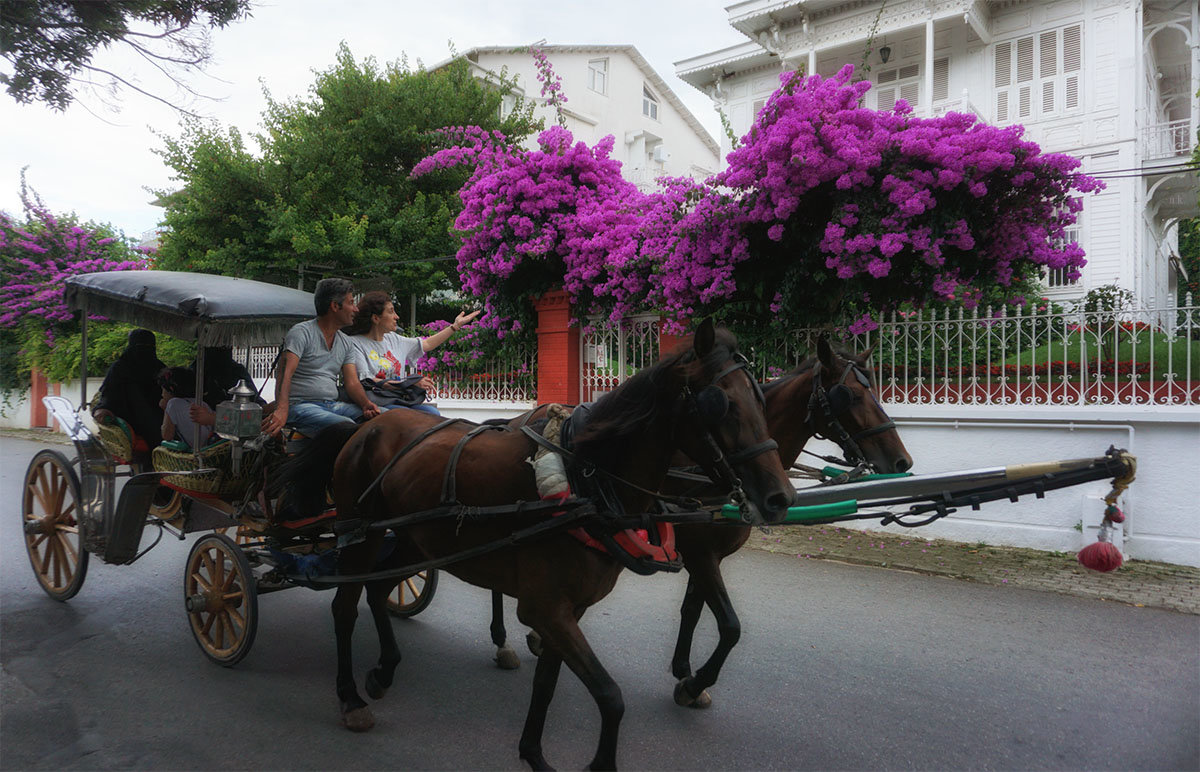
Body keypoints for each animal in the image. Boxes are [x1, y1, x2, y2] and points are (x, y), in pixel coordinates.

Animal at [274, 324, 796, 768]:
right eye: (721, 405)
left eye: (760, 399)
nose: (780, 498)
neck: (586, 479)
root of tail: (366, 425)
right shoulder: (546, 608)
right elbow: (610, 697)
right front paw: (598, 761)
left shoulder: (567, 610)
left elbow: (547, 683)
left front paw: (532, 752)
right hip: (360, 533)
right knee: (345, 606)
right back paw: (350, 697)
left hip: (415, 539)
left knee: (380, 591)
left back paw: (384, 671)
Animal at [484, 336, 907, 710]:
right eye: (850, 396)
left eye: (877, 392)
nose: (902, 461)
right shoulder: (701, 554)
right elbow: (730, 625)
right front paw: (695, 683)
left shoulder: (706, 555)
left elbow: (693, 610)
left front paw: (684, 670)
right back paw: (503, 640)